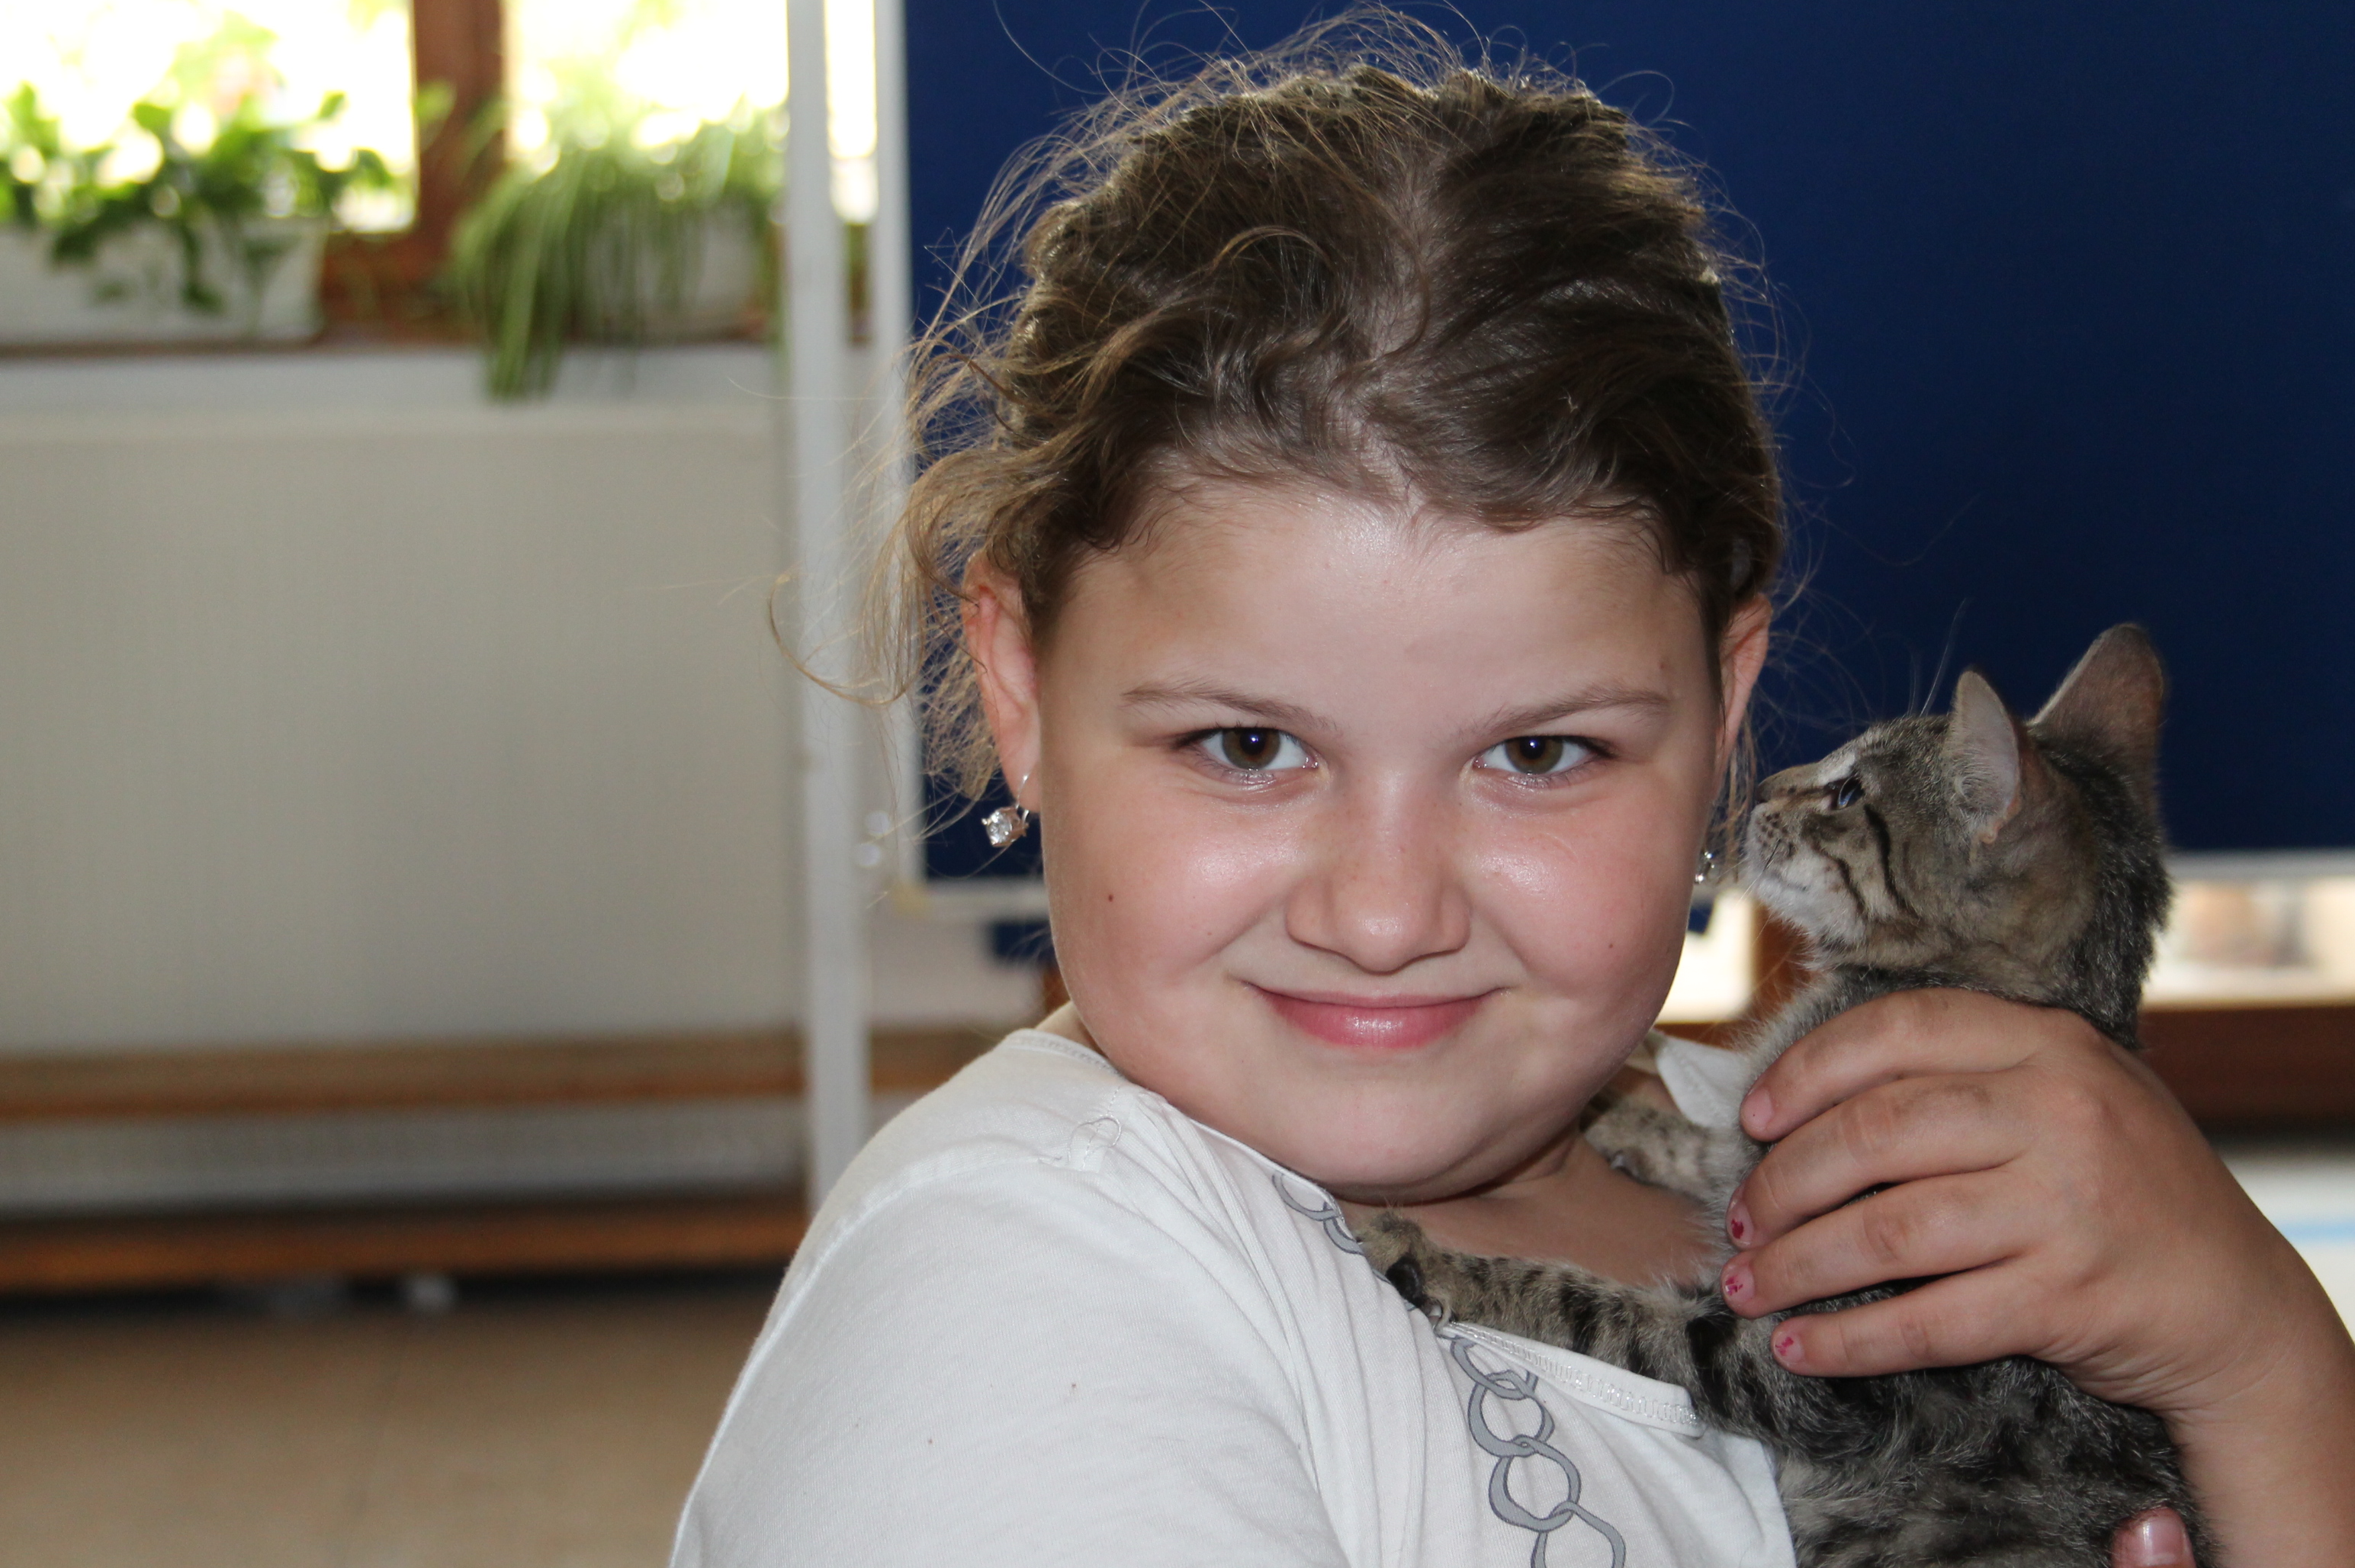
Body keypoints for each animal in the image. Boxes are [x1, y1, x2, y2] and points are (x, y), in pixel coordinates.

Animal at [1359, 625, 2200, 1568]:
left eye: (1845, 794)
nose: (1762, 785)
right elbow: (1728, 1146)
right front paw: (1621, 1116)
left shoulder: (1820, 1366)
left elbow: (1605, 1310)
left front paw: (1441, 1261)